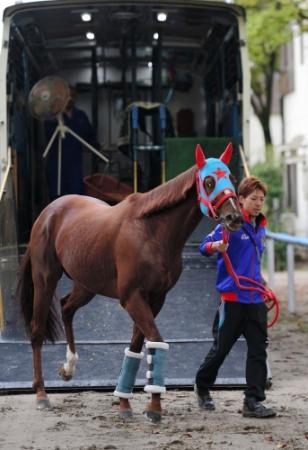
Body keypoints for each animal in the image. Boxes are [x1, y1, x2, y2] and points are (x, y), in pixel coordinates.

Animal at [15, 143, 243, 422]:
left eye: (232, 178)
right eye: (209, 181)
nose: (234, 217)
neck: (152, 231)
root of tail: (50, 211)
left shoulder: (155, 299)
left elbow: (136, 347)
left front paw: (126, 403)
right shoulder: (132, 297)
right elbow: (155, 340)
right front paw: (153, 407)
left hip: (87, 284)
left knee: (67, 307)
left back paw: (69, 367)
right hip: (45, 279)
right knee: (37, 330)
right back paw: (41, 394)